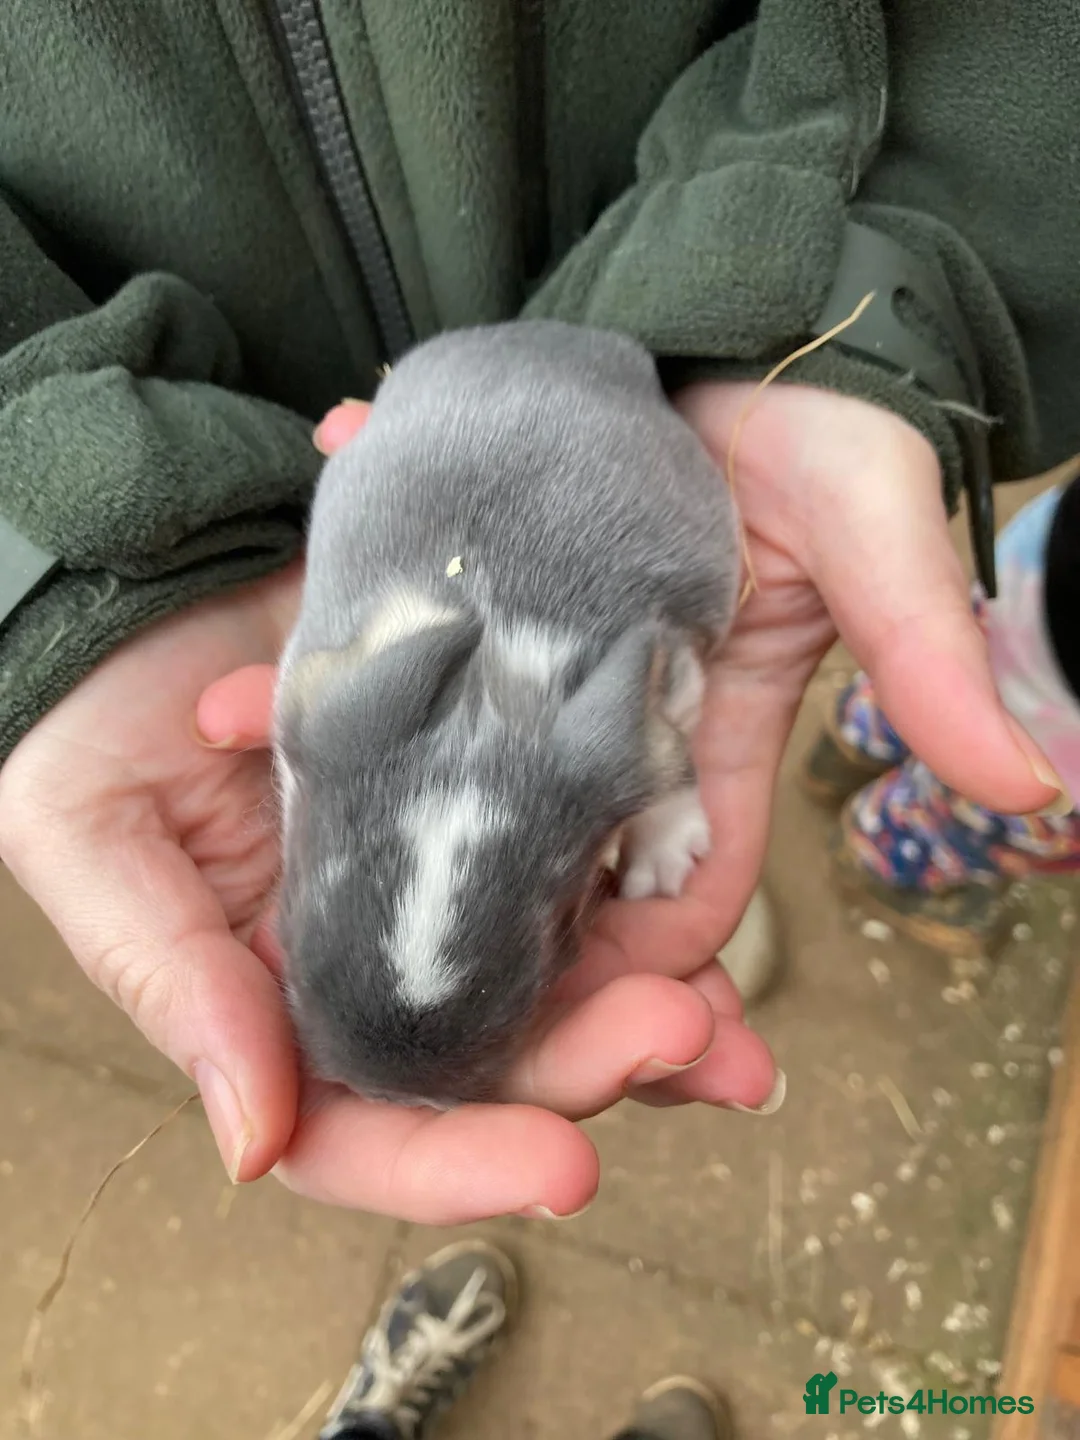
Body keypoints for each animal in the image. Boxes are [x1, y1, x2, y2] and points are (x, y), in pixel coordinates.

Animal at [272, 319, 753, 1109]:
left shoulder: (673, 674)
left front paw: (663, 864)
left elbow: (669, 767)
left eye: (557, 937)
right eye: (294, 909)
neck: (490, 679)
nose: (392, 1092)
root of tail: (548, 334)